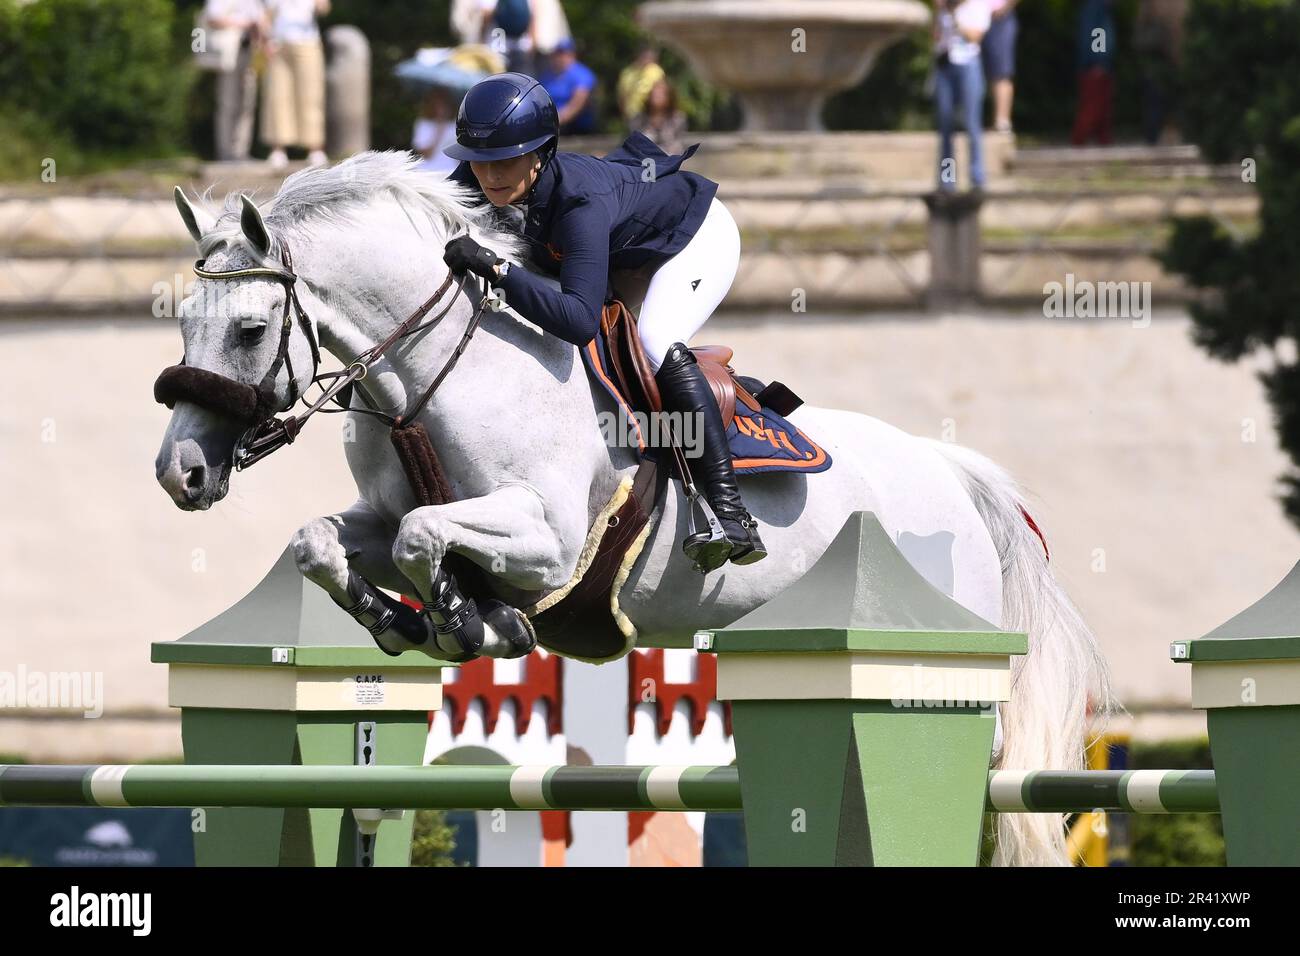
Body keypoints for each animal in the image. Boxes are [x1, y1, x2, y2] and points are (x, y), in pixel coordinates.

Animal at [152, 151, 1107, 868]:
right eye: (182, 321)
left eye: (247, 329)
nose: (179, 473)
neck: (438, 370)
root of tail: (952, 473)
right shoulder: (380, 520)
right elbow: (323, 543)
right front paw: (402, 620)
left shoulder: (546, 538)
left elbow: (432, 539)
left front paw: (472, 621)